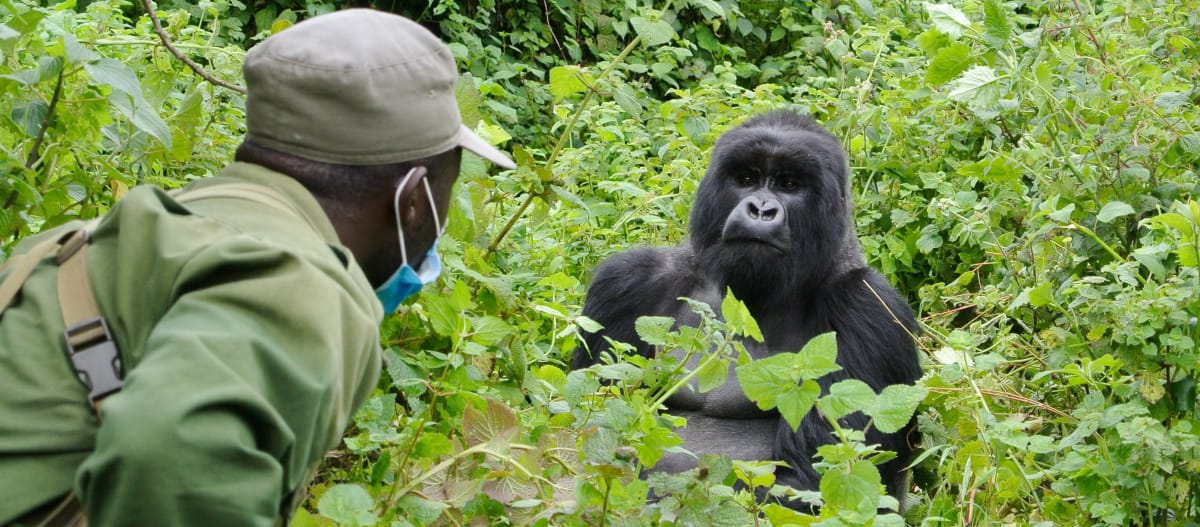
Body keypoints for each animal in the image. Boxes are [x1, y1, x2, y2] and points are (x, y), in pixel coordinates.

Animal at [568, 110, 916, 511]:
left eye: (790, 184)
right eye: (747, 179)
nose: (761, 209)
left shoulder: (870, 310)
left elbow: (818, 482)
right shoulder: (625, 282)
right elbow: (584, 430)